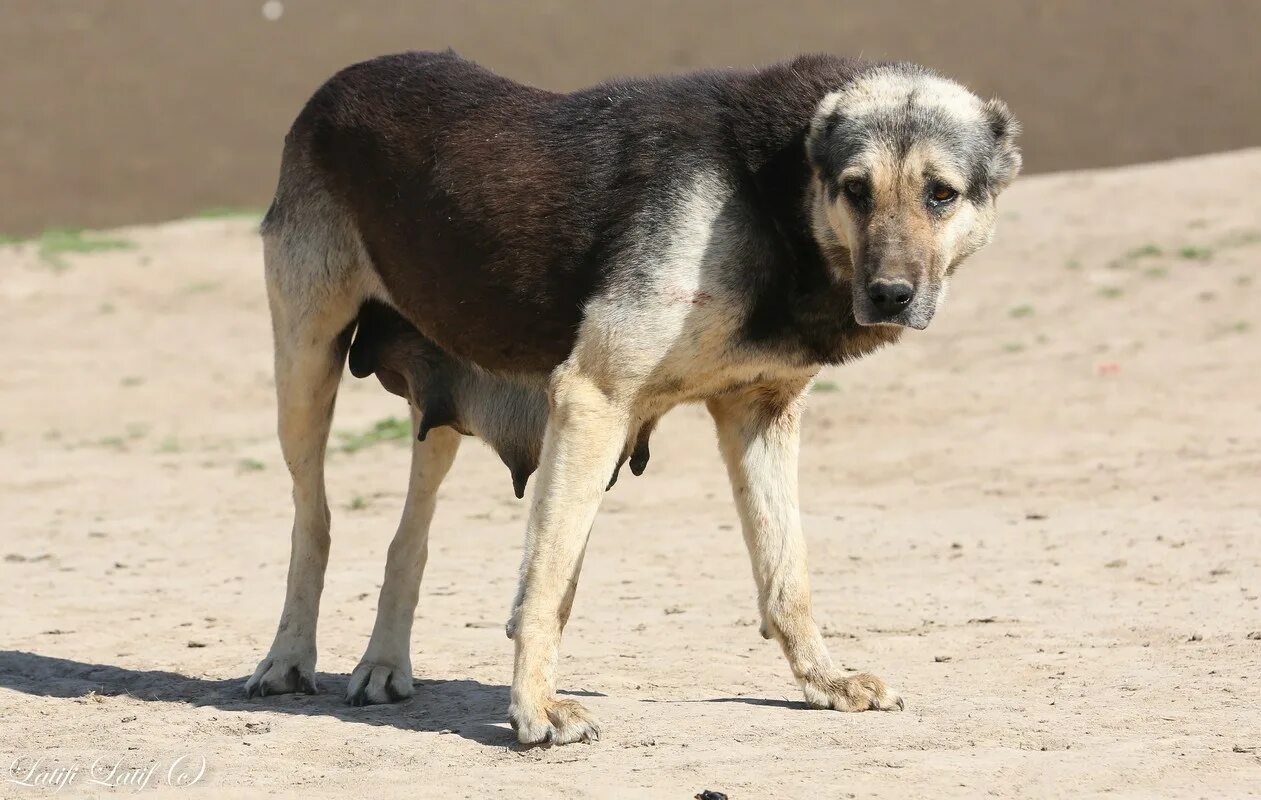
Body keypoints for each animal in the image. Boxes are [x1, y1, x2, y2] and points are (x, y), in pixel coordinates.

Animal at [248, 52, 1023, 747]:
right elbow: (545, 582)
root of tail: (339, 84)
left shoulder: (758, 414)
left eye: (941, 194)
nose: (890, 296)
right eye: (856, 190)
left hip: (436, 409)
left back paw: (383, 665)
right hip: (305, 369)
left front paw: (823, 681)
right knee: (312, 519)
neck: (770, 191)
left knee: (408, 537)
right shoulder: (592, 399)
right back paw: (287, 659)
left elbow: (785, 573)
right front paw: (534, 712)